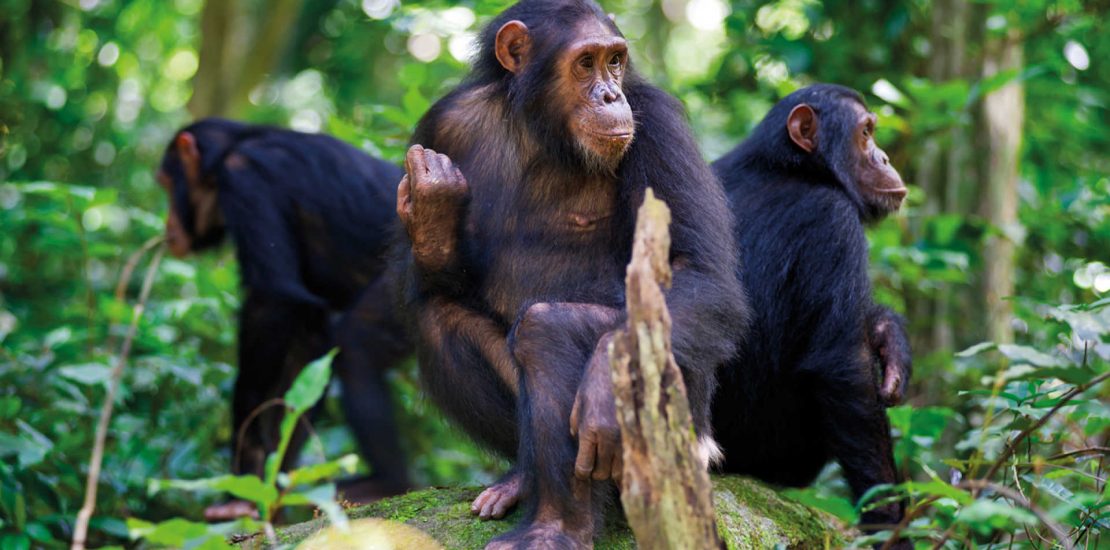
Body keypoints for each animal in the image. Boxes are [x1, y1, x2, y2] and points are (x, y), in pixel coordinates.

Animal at [155, 119, 412, 520]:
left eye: (166, 183)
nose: (167, 223)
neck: (228, 152)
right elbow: (307, 347)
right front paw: (266, 489)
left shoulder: (245, 180)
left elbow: (273, 301)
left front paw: (244, 468)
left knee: (356, 346)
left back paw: (387, 483)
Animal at [390, 2, 745, 548]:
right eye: (585, 63)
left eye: (615, 61)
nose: (611, 94)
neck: (540, 128)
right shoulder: (440, 127)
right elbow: (438, 287)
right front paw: (432, 209)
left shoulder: (659, 125)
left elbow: (699, 270)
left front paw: (601, 391)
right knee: (439, 318)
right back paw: (522, 484)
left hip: (686, 431)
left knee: (548, 329)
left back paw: (556, 528)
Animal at [710, 83, 919, 544]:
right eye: (866, 133)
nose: (885, 158)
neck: (792, 167)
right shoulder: (833, 223)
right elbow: (844, 369)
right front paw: (890, 525)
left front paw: (890, 337)